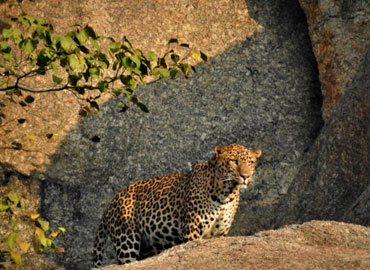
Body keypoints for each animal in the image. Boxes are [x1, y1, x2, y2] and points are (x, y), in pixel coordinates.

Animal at [92, 144, 260, 266]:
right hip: (126, 241)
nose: (246, 176)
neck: (226, 193)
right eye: (234, 161)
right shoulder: (193, 230)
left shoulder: (219, 235)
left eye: (251, 162)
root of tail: (111, 203)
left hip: (147, 247)